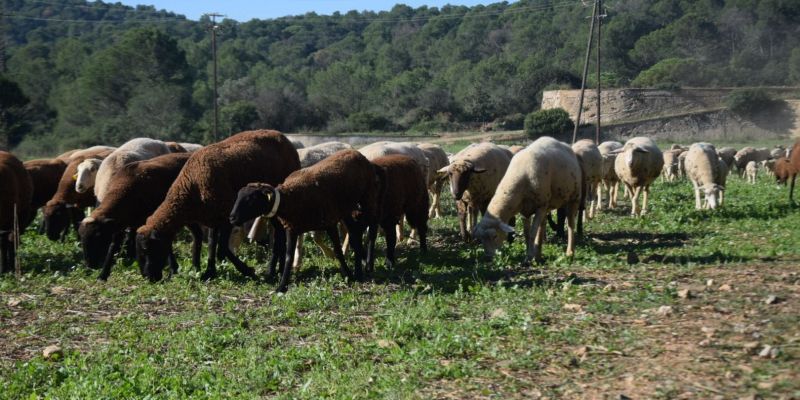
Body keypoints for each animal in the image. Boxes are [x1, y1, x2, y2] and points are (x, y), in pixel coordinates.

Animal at [79, 153, 202, 282]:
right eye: (81, 237)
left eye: (98, 236)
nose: (90, 265)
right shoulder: (119, 225)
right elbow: (113, 247)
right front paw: (103, 275)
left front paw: (172, 271)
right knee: (197, 234)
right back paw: (196, 268)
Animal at [136, 130, 302, 282]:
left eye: (147, 249)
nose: (148, 278)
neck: (191, 187)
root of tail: (283, 137)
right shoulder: (213, 217)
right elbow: (212, 244)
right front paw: (210, 272)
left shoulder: (227, 215)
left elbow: (221, 247)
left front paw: (247, 271)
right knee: (279, 233)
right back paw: (277, 270)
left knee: (279, 235)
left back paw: (272, 271)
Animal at [228, 148, 384, 292]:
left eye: (251, 199)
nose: (232, 217)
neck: (289, 198)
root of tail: (357, 153)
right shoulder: (292, 228)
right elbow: (288, 257)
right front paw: (282, 286)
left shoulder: (330, 222)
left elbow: (338, 251)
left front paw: (348, 275)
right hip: (346, 209)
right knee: (355, 234)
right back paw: (359, 270)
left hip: (368, 197)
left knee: (372, 229)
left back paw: (368, 265)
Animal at [476, 138, 580, 266]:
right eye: (481, 239)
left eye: (494, 236)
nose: (488, 258)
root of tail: (564, 144)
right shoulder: (524, 211)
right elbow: (526, 234)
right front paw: (529, 256)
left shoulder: (540, 206)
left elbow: (531, 234)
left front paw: (529, 257)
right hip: (547, 205)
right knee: (542, 226)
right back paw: (539, 255)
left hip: (574, 196)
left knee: (570, 224)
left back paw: (570, 253)